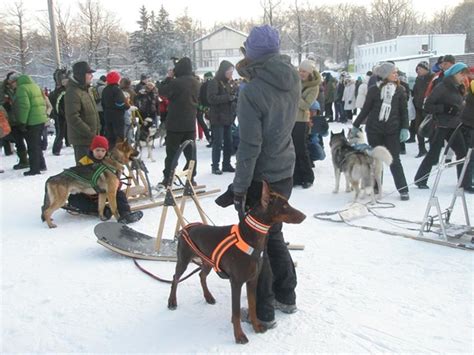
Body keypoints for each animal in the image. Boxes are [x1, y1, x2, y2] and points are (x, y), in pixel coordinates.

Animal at [168, 182, 306, 344]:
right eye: (284, 205)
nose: (304, 216)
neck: (250, 238)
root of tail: (186, 227)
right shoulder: (236, 282)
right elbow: (236, 312)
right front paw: (239, 336)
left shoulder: (252, 280)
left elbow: (252, 305)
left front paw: (256, 326)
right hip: (183, 259)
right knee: (175, 278)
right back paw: (172, 301)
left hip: (208, 261)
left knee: (201, 275)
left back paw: (208, 297)